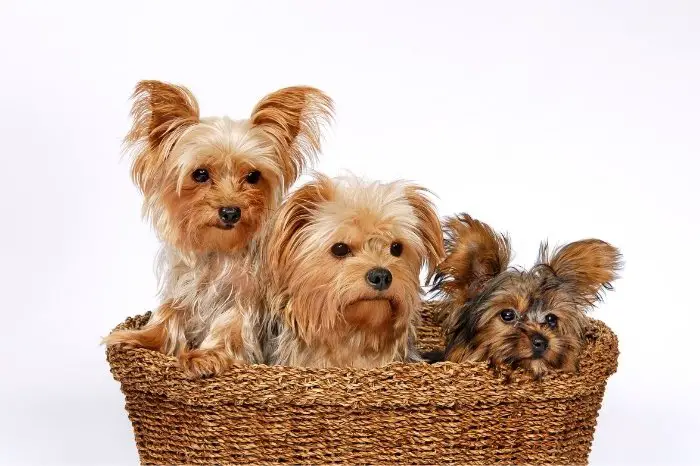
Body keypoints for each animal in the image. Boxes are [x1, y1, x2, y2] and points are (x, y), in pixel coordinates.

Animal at [104, 81, 334, 378]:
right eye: (200, 174)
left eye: (253, 176)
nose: (230, 211)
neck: (219, 250)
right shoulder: (185, 287)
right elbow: (168, 312)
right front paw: (141, 337)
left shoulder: (246, 298)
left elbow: (230, 324)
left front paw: (206, 356)